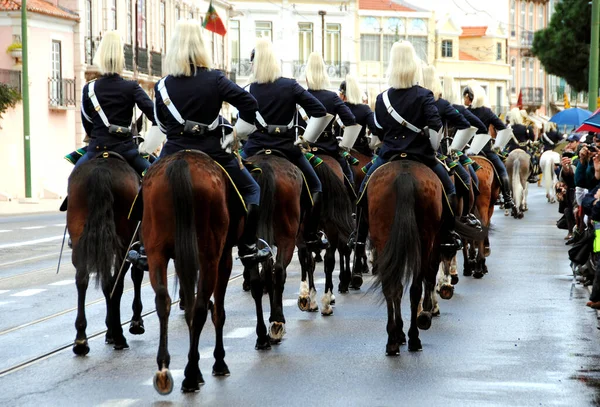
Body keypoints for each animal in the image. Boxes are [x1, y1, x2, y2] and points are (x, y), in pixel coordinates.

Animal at [67, 155, 146, 356]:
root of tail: (100, 169)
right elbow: (135, 277)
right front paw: (134, 323)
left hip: (80, 240)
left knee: (82, 279)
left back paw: (81, 339)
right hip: (124, 242)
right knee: (114, 283)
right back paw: (119, 336)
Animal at [142, 151, 245, 394]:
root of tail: (182, 161)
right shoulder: (223, 258)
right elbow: (217, 312)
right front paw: (218, 362)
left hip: (156, 253)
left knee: (163, 300)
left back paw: (163, 369)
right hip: (209, 258)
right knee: (200, 309)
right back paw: (191, 374)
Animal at [296, 154, 354, 316]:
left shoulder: (331, 232)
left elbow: (328, 263)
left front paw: (324, 301)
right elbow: (308, 263)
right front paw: (309, 299)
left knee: (339, 254)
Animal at [366, 158, 446, 356]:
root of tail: (404, 175)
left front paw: (399, 332)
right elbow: (429, 278)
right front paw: (425, 314)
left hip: (385, 239)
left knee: (393, 287)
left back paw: (393, 341)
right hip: (425, 242)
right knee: (413, 287)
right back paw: (413, 337)